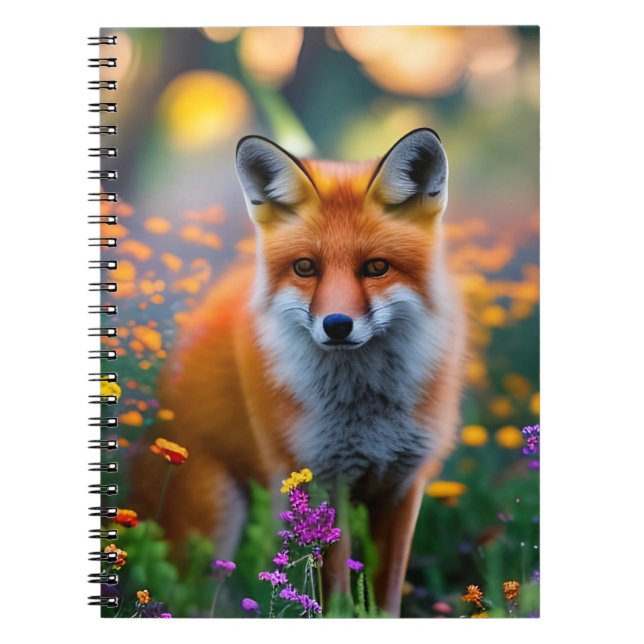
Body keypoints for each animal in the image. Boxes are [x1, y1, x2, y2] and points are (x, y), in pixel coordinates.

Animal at [132, 128, 466, 616]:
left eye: (377, 267)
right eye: (305, 267)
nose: (337, 325)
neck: (365, 412)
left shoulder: (402, 487)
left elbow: (384, 598)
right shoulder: (323, 482)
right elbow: (337, 597)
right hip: (211, 520)